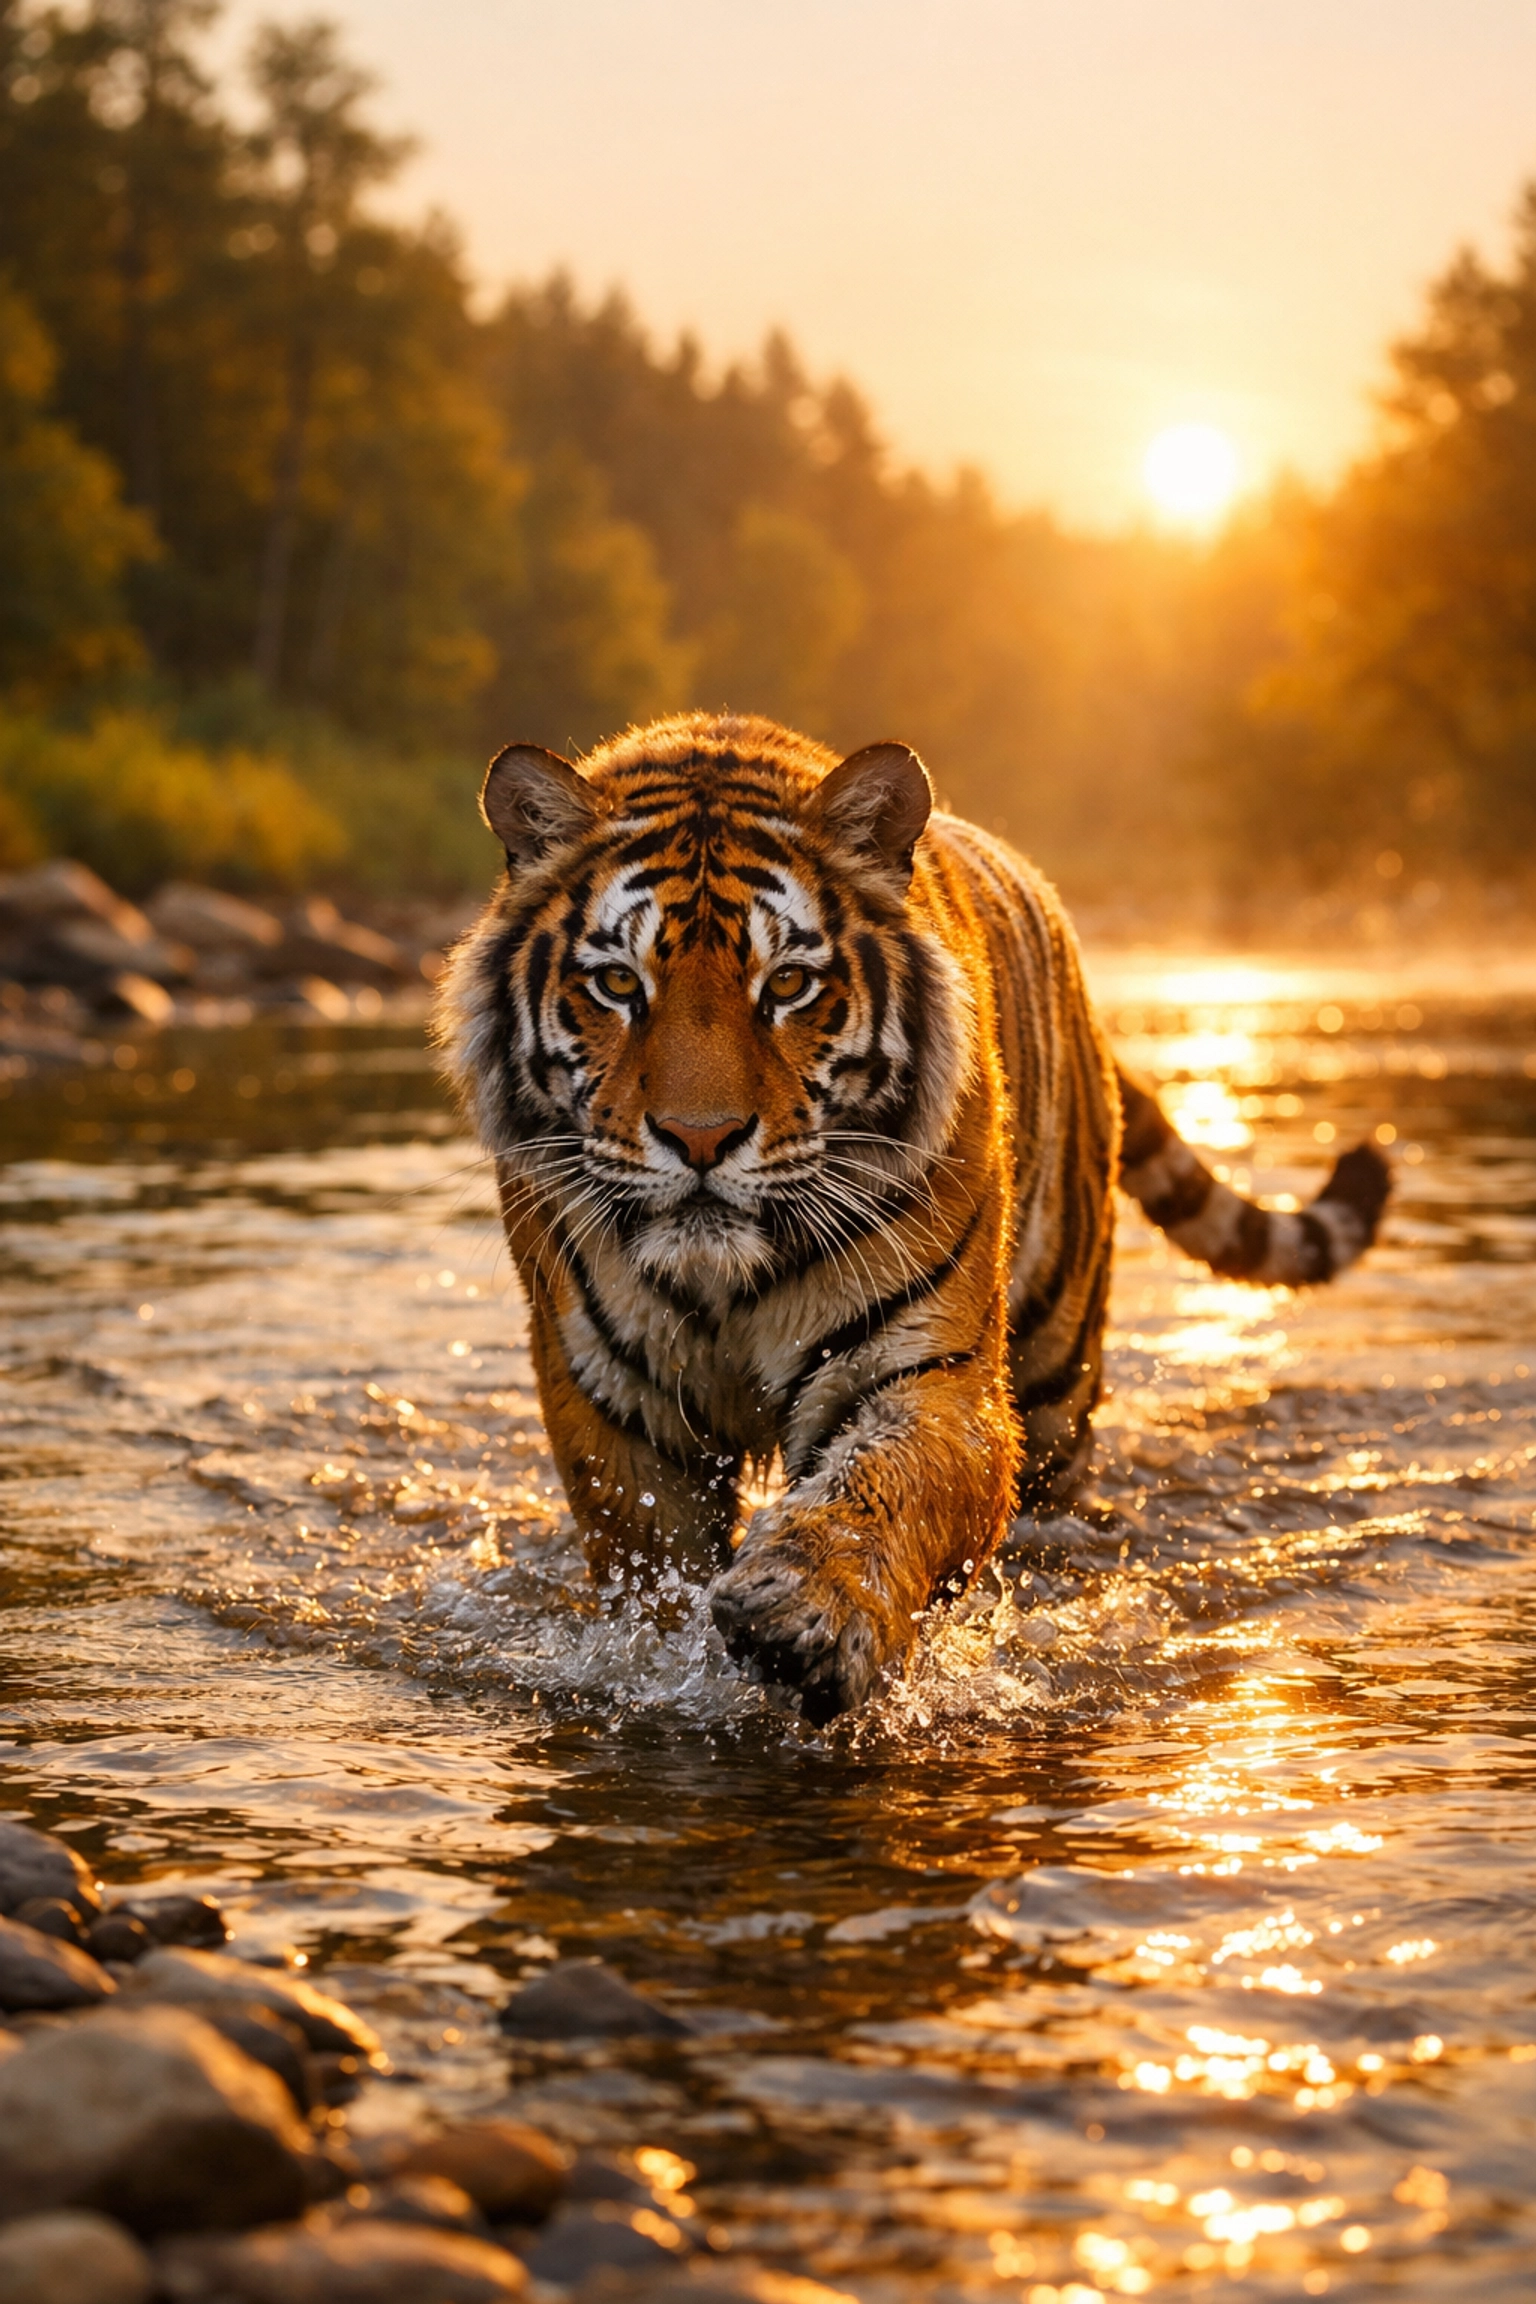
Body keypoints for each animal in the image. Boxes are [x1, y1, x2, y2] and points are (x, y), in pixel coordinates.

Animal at [437, 712, 1389, 1722]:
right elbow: (649, 1572)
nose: (701, 1138)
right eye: (618, 985)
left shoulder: (931, 1373)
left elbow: (884, 1482)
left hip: (1057, 1384)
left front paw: (807, 1612)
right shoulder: (616, 1406)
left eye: (788, 986)